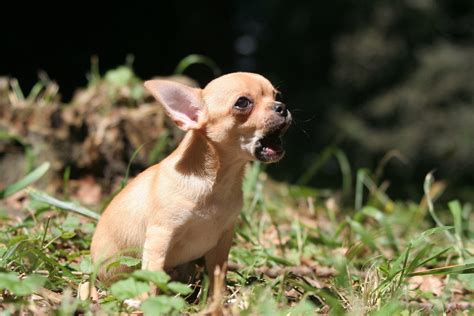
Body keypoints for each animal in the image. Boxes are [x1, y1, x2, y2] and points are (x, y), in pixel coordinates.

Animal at [90, 73, 290, 290]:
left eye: (277, 95)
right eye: (243, 103)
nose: (282, 106)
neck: (218, 182)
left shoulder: (223, 241)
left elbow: (218, 276)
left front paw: (217, 298)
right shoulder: (160, 236)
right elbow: (153, 276)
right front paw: (147, 297)